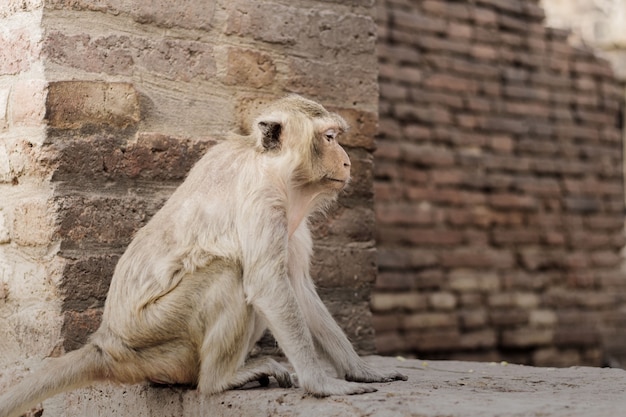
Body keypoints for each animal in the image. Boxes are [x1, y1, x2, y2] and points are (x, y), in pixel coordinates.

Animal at [0, 94, 408, 416]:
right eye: (328, 138)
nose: (346, 160)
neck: (270, 166)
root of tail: (108, 345)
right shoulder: (263, 200)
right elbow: (267, 284)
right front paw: (321, 383)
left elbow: (297, 288)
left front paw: (359, 369)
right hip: (155, 338)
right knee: (229, 272)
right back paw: (219, 381)